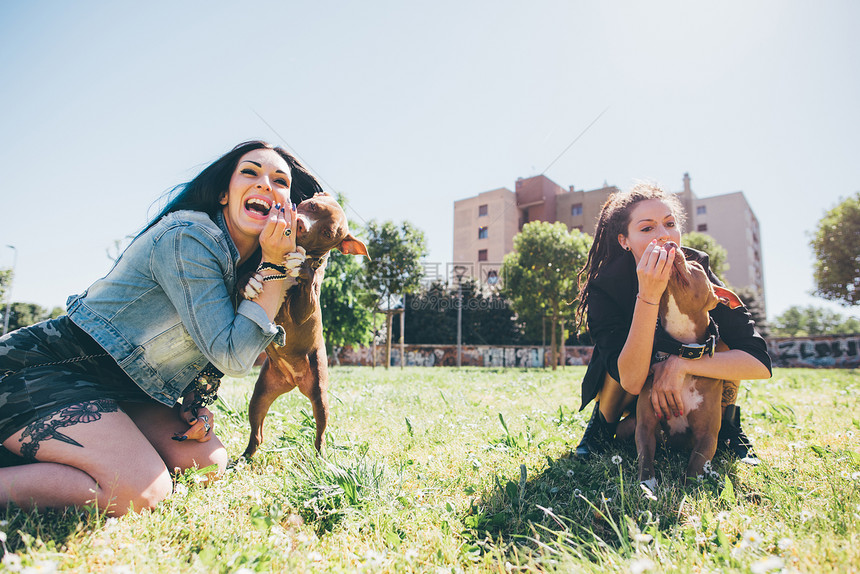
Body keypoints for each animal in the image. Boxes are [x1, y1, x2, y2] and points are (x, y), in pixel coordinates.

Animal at [240, 194, 368, 460]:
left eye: (328, 233)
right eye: (311, 206)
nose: (299, 223)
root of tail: (293, 380)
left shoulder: (302, 311)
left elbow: (305, 288)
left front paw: (302, 268)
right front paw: (247, 281)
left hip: (319, 395)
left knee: (320, 434)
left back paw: (320, 460)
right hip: (260, 394)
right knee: (257, 434)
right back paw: (242, 460)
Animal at [628, 245, 744, 492]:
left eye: (697, 266)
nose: (670, 244)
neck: (680, 346)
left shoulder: (707, 435)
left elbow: (695, 467)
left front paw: (686, 490)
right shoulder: (645, 425)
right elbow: (645, 457)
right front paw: (648, 485)